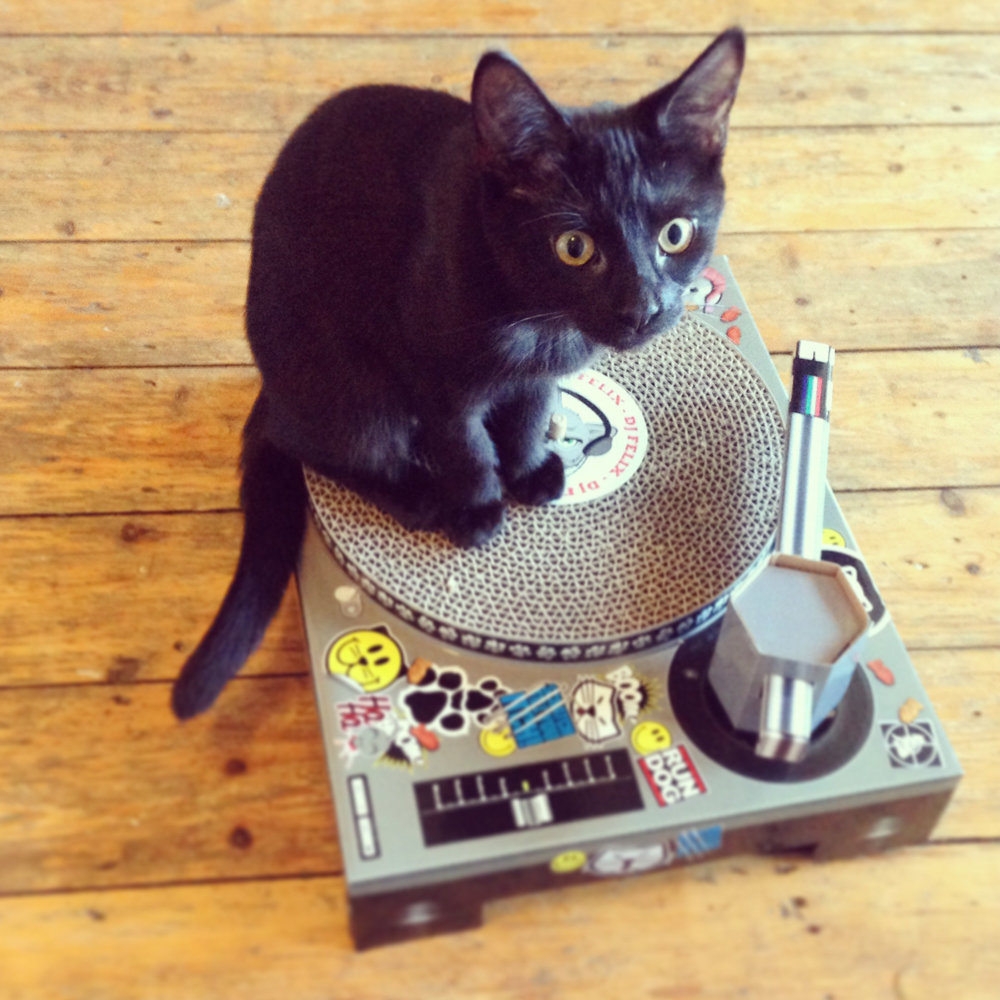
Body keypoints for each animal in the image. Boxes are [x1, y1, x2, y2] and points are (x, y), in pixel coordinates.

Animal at [172, 29, 748, 720]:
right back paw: (418, 494)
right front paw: (479, 509)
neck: (538, 319)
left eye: (676, 233)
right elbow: (467, 445)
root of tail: (271, 388)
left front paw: (528, 472)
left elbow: (527, 416)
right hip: (354, 387)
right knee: (318, 443)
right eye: (574, 247)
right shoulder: (436, 380)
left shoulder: (536, 377)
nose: (643, 308)